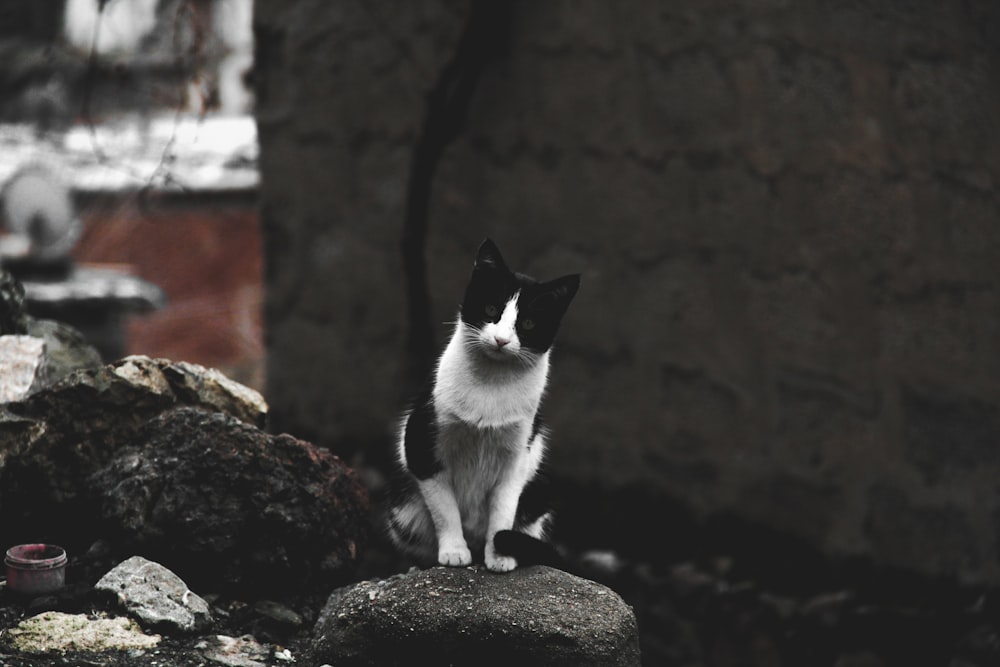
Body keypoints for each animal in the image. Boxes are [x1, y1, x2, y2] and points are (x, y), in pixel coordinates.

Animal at [388, 237, 584, 572]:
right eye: (491, 309)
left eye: (528, 323)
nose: (502, 340)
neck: (492, 383)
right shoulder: (422, 445)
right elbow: (444, 507)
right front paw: (454, 551)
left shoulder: (516, 458)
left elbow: (503, 511)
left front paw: (500, 556)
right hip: (404, 510)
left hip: (538, 496)